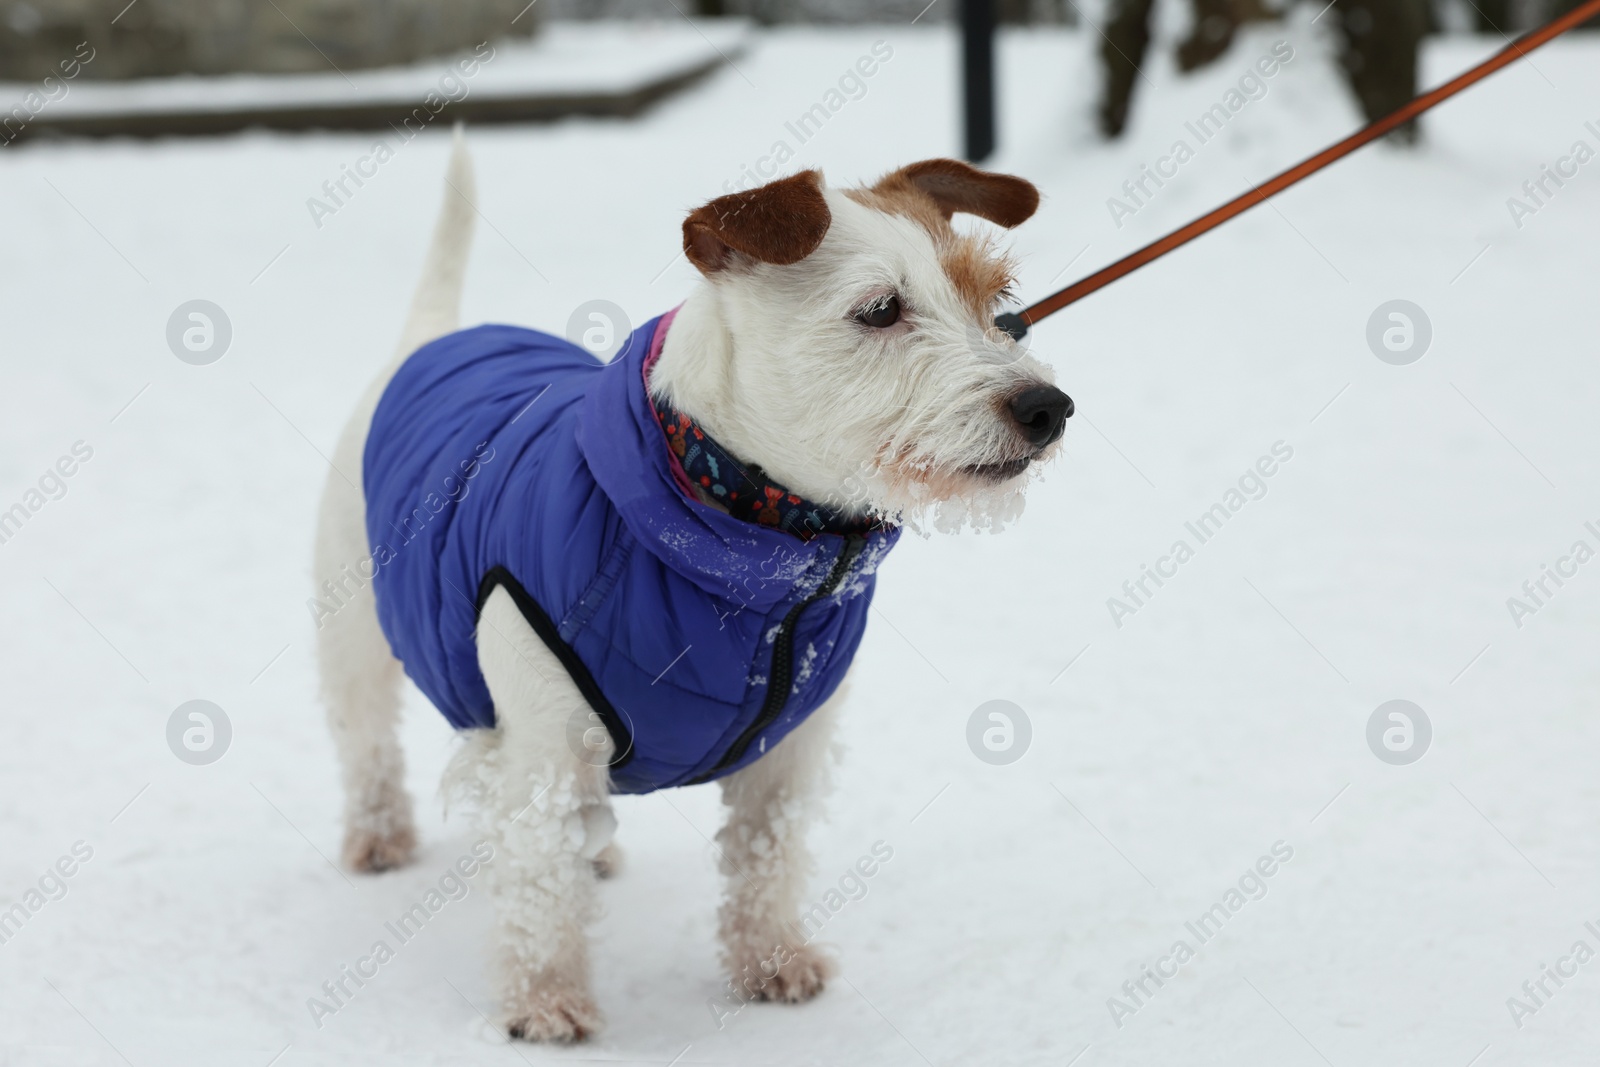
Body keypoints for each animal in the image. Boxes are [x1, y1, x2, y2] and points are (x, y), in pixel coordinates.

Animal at [310, 133, 1068, 1043]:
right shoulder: (541, 750)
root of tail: (432, 339)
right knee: (367, 746)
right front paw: (545, 999)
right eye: (882, 309)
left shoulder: (789, 750)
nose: (1047, 406)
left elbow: (765, 858)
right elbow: (538, 892)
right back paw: (379, 837)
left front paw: (770, 960)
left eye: (998, 300)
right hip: (355, 637)